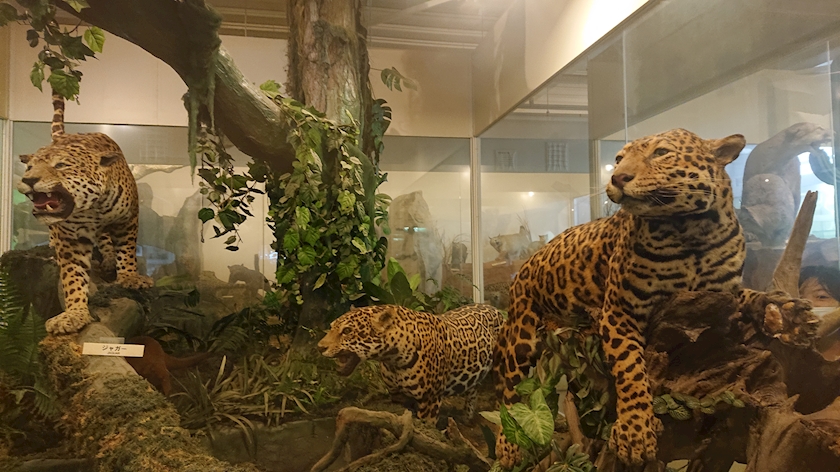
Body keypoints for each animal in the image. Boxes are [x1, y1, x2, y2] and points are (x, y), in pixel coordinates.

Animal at [16, 90, 153, 336]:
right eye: (30, 168)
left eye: (61, 166)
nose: (29, 180)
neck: (93, 207)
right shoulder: (70, 239)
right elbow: (73, 276)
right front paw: (74, 314)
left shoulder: (127, 220)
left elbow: (127, 250)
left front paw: (129, 277)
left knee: (107, 240)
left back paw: (109, 259)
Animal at [318, 303, 504, 420]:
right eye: (331, 327)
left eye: (347, 331)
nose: (320, 347)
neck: (392, 360)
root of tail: (494, 308)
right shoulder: (398, 396)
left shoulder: (430, 400)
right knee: (473, 388)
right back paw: (468, 416)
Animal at [493, 128, 815, 468]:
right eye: (619, 158)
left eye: (661, 152)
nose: (618, 177)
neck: (692, 231)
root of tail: (526, 261)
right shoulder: (619, 311)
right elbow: (630, 368)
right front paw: (634, 433)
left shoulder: (723, 292)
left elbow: (755, 295)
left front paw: (787, 315)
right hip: (521, 335)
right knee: (509, 392)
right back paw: (507, 445)